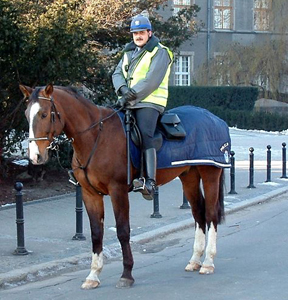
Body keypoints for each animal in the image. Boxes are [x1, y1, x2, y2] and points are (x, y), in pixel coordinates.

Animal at [19, 83, 232, 290]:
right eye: (27, 114)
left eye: (44, 114)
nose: (35, 156)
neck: (96, 136)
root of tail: (215, 119)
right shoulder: (90, 194)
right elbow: (96, 233)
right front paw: (93, 275)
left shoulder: (118, 191)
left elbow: (122, 231)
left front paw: (126, 274)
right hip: (189, 177)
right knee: (198, 214)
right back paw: (195, 260)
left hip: (210, 175)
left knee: (210, 215)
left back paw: (208, 262)